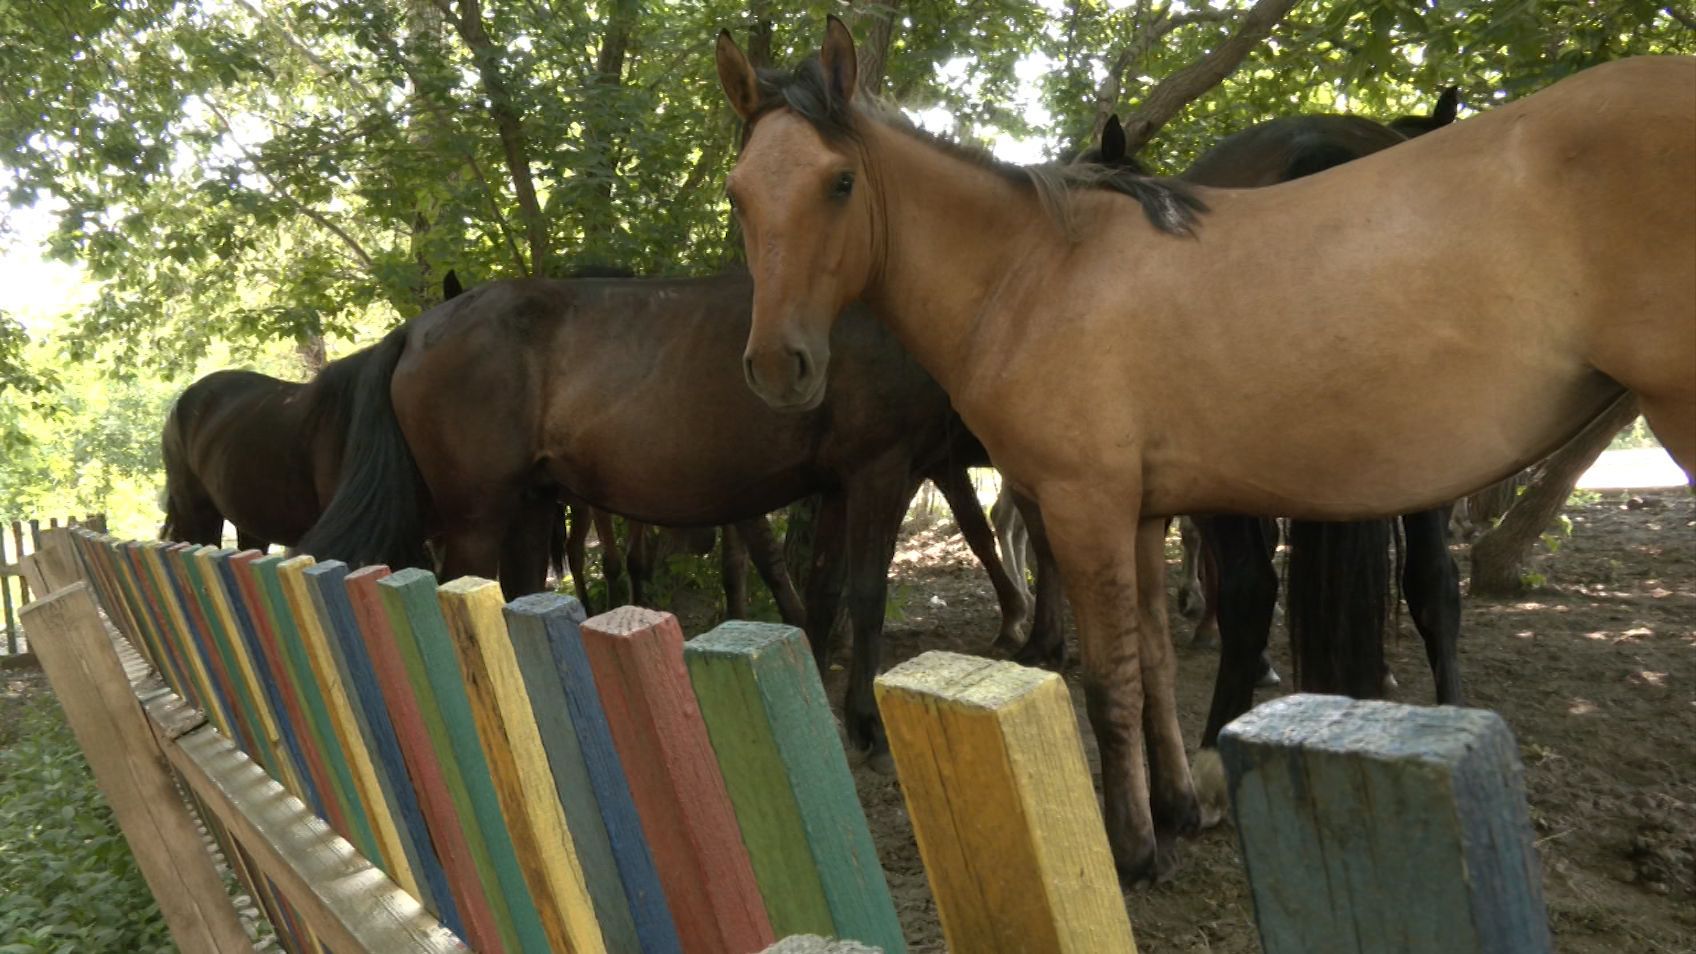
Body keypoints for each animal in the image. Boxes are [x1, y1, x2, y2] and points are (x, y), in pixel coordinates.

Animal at [296, 263, 1024, 746]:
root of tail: (416, 330)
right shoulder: (882, 471)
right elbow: (868, 596)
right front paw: (866, 725)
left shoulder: (840, 487)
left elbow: (824, 594)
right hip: (479, 516)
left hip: (530, 507)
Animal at [719, 18, 1696, 882]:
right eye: (737, 191)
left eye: (841, 182)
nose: (776, 365)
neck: (1033, 274)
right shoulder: (1143, 515)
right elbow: (1151, 662)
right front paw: (1178, 807)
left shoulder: (1086, 506)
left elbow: (1110, 682)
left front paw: (1134, 850)